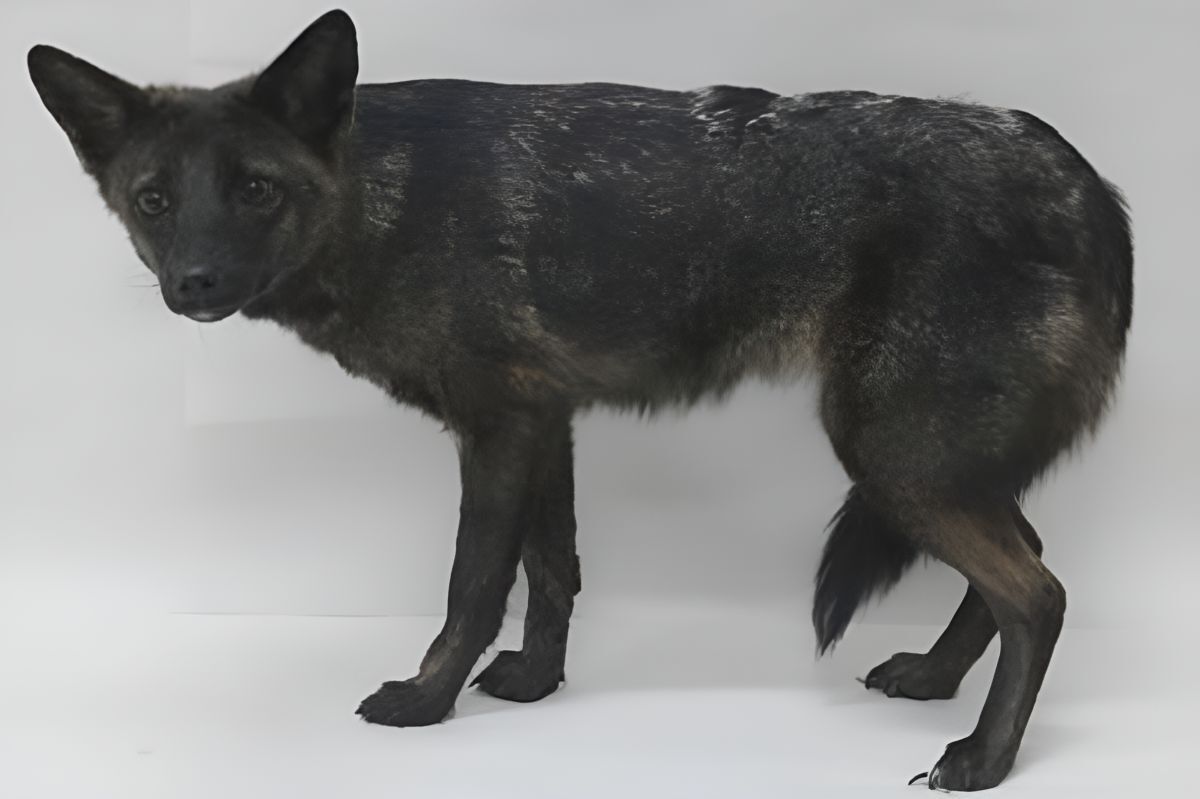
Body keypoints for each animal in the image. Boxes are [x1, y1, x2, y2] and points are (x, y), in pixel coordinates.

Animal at [27, 9, 1132, 792]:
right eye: (154, 201)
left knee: (1038, 591)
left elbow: (473, 582)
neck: (386, 198)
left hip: (896, 455)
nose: (195, 284)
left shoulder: (497, 426)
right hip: (932, 463)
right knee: (1024, 563)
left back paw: (983, 757)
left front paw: (427, 700)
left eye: (256, 190)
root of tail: (1088, 180)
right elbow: (552, 568)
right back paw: (937, 682)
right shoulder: (542, 420)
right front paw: (533, 683)